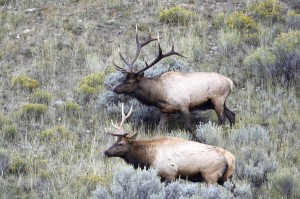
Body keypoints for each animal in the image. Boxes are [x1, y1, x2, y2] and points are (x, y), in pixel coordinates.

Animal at [104, 105, 236, 184]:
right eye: (115, 141)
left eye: (120, 143)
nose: (106, 152)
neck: (148, 158)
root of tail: (231, 158)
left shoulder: (169, 174)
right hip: (227, 178)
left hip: (210, 176)